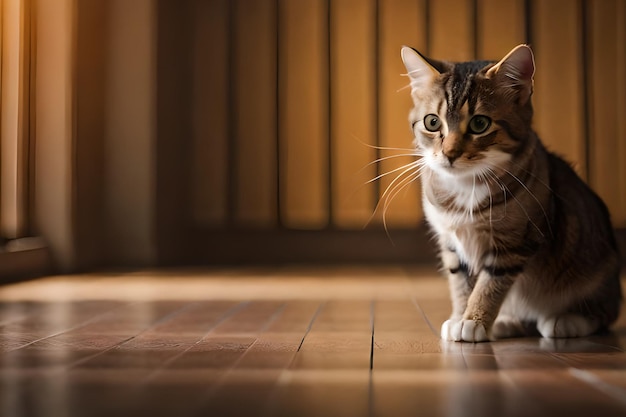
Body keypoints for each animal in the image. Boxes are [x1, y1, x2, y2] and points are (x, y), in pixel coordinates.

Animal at [400, 44, 620, 342]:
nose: (449, 154)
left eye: (479, 124)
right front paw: (460, 316)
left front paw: (473, 321)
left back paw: (568, 321)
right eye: (432, 122)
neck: (466, 185)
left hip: (596, 272)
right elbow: (460, 282)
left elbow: (489, 284)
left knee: (603, 313)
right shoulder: (451, 243)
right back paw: (507, 321)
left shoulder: (514, 243)